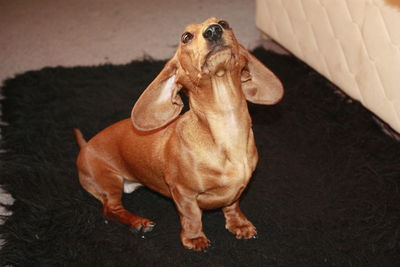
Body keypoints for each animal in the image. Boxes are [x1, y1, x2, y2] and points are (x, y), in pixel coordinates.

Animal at [73, 17, 282, 251]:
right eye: (186, 37)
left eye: (224, 23)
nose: (213, 31)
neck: (226, 125)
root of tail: (86, 145)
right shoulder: (183, 192)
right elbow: (191, 216)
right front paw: (194, 238)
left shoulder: (235, 192)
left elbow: (232, 205)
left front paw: (239, 225)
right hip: (109, 180)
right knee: (111, 209)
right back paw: (138, 223)